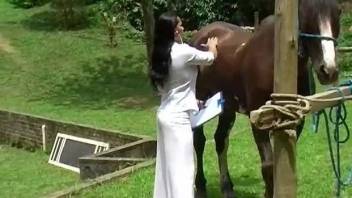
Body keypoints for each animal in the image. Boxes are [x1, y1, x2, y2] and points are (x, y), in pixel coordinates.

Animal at [191, 0, 340, 198]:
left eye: (338, 11)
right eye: (305, 12)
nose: (328, 70)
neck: (273, 63)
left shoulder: (295, 120)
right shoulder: (257, 119)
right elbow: (268, 167)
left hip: (227, 108)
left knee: (220, 140)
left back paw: (227, 186)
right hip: (199, 103)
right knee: (199, 142)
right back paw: (200, 186)